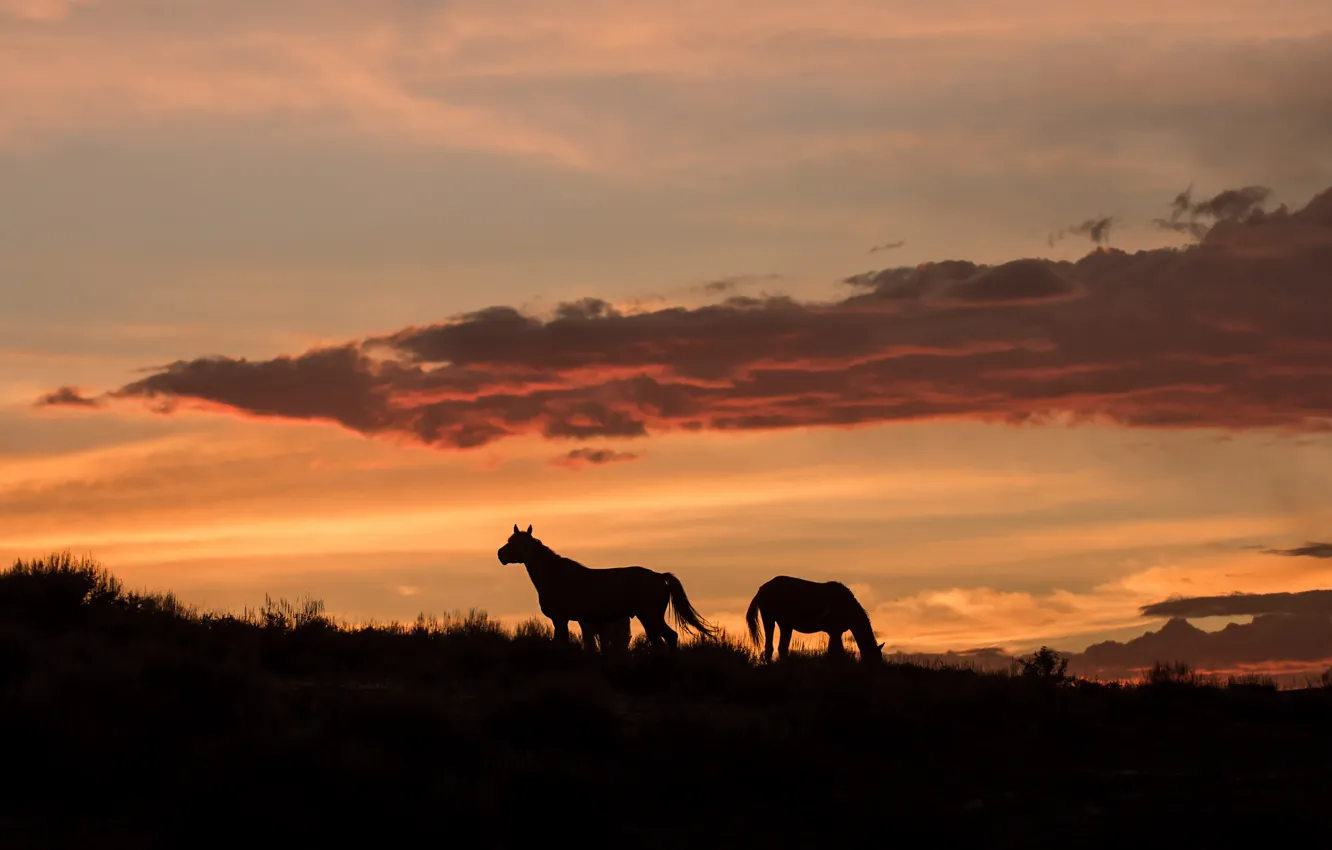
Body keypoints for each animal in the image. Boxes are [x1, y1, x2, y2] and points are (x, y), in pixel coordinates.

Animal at [498, 524, 717, 652]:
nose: (500, 555)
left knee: (665, 639)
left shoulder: (561, 620)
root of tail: (659, 577)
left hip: (649, 616)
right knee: (668, 638)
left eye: (514, 543)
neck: (555, 575)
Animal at [745, 575, 884, 663]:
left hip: (778, 622)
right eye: (875, 657)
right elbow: (835, 653)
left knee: (778, 648)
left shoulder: (835, 632)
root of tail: (761, 590)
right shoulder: (834, 631)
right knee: (775, 648)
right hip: (776, 621)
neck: (845, 604)